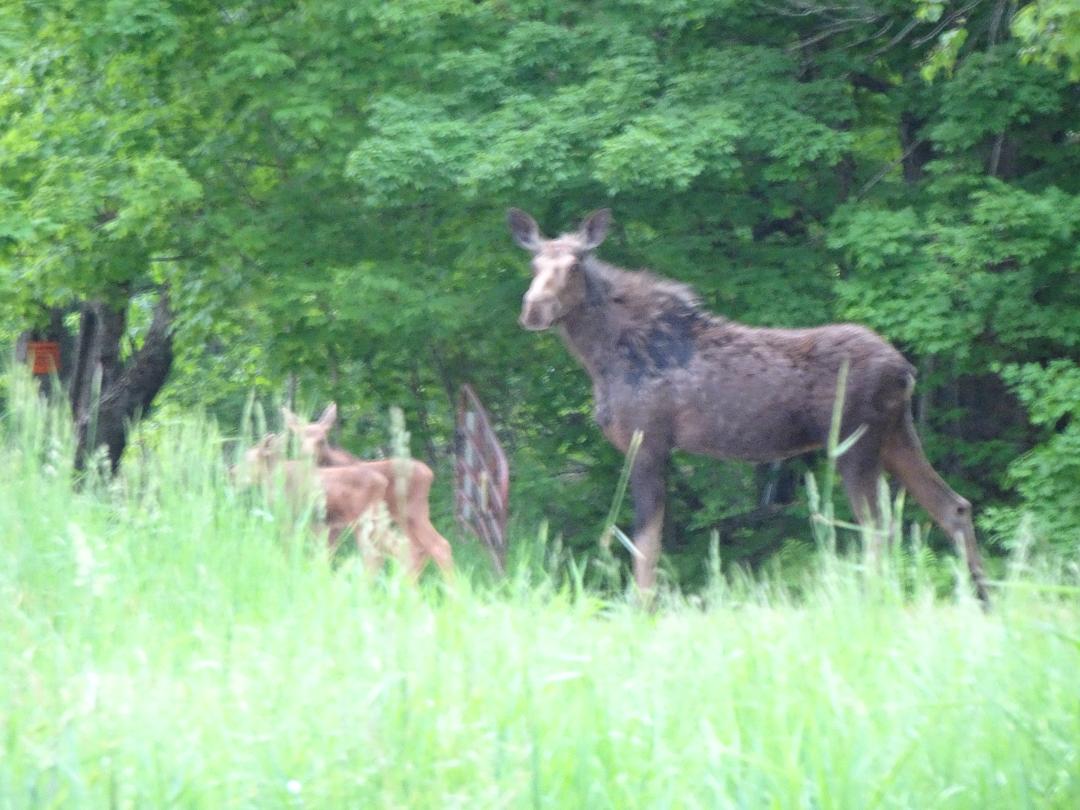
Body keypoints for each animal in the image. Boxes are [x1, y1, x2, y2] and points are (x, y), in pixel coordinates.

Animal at [281, 403, 454, 579]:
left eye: (322, 440)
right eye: (298, 439)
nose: (308, 456)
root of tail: (429, 473)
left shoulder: (333, 521)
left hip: (411, 512)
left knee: (437, 545)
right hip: (401, 517)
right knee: (417, 548)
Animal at [508, 207, 990, 605]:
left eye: (574, 265)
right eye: (533, 264)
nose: (533, 310)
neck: (600, 358)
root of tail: (906, 370)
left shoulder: (649, 442)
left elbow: (646, 545)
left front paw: (642, 612)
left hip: (857, 443)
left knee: (879, 528)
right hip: (895, 435)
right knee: (954, 506)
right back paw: (982, 600)